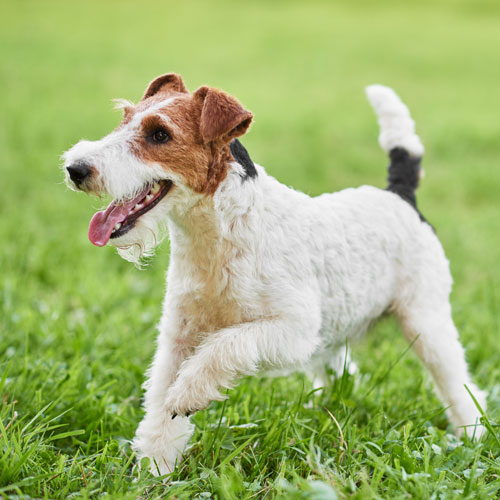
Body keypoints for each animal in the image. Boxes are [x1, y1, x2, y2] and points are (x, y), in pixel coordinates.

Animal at [61, 73, 484, 472]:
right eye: (125, 118)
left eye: (160, 133)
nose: (75, 168)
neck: (219, 234)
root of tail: (400, 195)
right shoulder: (178, 336)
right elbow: (160, 412)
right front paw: (155, 470)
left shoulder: (292, 330)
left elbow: (224, 346)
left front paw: (188, 394)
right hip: (337, 330)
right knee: (344, 374)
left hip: (425, 321)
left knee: (461, 386)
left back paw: (473, 434)